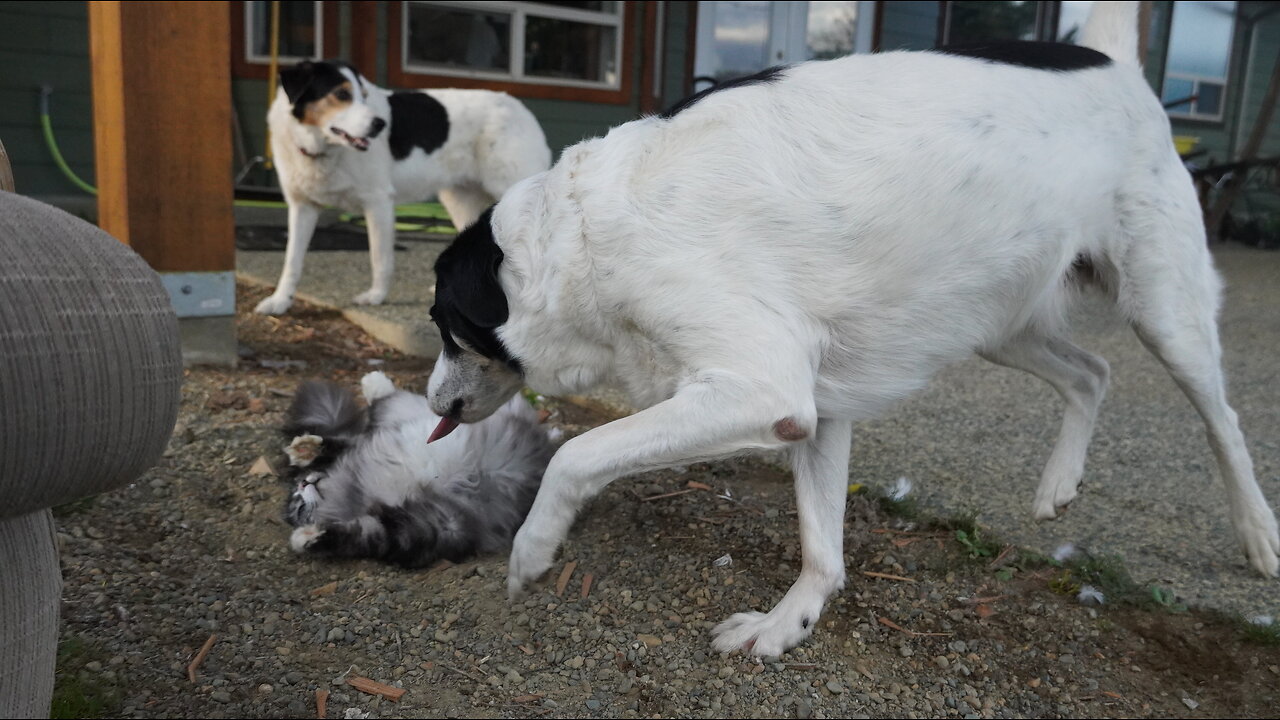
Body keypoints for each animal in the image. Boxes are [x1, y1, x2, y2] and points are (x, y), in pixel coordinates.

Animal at [254, 63, 550, 315]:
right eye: (341, 94)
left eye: (363, 95)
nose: (379, 125)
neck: (323, 148)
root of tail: (523, 110)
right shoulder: (302, 206)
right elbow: (291, 261)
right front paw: (280, 301)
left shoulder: (378, 202)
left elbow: (380, 258)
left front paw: (376, 296)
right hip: (462, 201)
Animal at [282, 368, 558, 566]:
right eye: (298, 506)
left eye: (298, 496)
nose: (304, 483)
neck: (350, 488)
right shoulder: (429, 525)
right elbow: (356, 535)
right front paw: (307, 537)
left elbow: (335, 444)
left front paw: (304, 449)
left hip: (413, 413)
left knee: (389, 400)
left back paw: (374, 381)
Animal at [422, 2, 1280, 655]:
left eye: (441, 322)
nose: (429, 400)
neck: (576, 236)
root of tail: (1114, 63)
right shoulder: (814, 409)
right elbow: (822, 547)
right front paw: (787, 625)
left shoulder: (763, 389)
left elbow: (578, 453)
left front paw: (533, 549)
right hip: (997, 316)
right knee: (1091, 374)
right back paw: (1058, 485)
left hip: (1163, 311)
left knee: (1224, 421)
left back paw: (1259, 535)